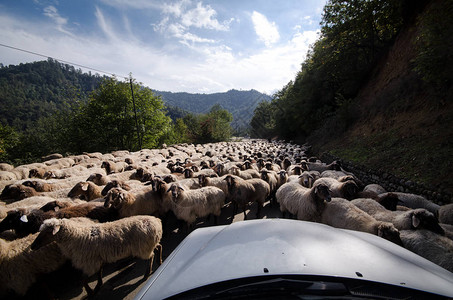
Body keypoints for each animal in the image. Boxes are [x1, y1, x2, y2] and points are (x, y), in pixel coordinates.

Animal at [30, 216, 162, 296]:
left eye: (47, 232)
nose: (32, 246)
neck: (76, 236)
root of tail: (157, 221)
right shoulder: (97, 259)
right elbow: (99, 272)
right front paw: (98, 285)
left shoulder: (90, 263)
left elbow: (83, 279)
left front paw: (90, 292)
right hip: (149, 245)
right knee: (158, 247)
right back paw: (159, 262)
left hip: (144, 248)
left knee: (150, 256)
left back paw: (147, 273)